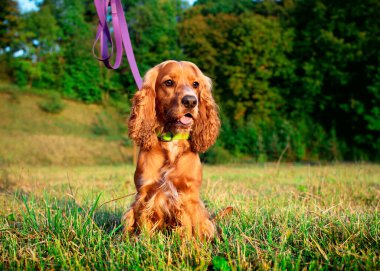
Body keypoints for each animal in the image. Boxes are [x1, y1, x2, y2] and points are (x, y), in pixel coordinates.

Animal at [122, 60, 220, 240]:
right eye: (168, 82)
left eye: (196, 84)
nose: (190, 101)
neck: (172, 140)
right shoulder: (145, 194)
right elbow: (144, 227)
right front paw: (144, 243)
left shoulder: (187, 196)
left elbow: (188, 230)